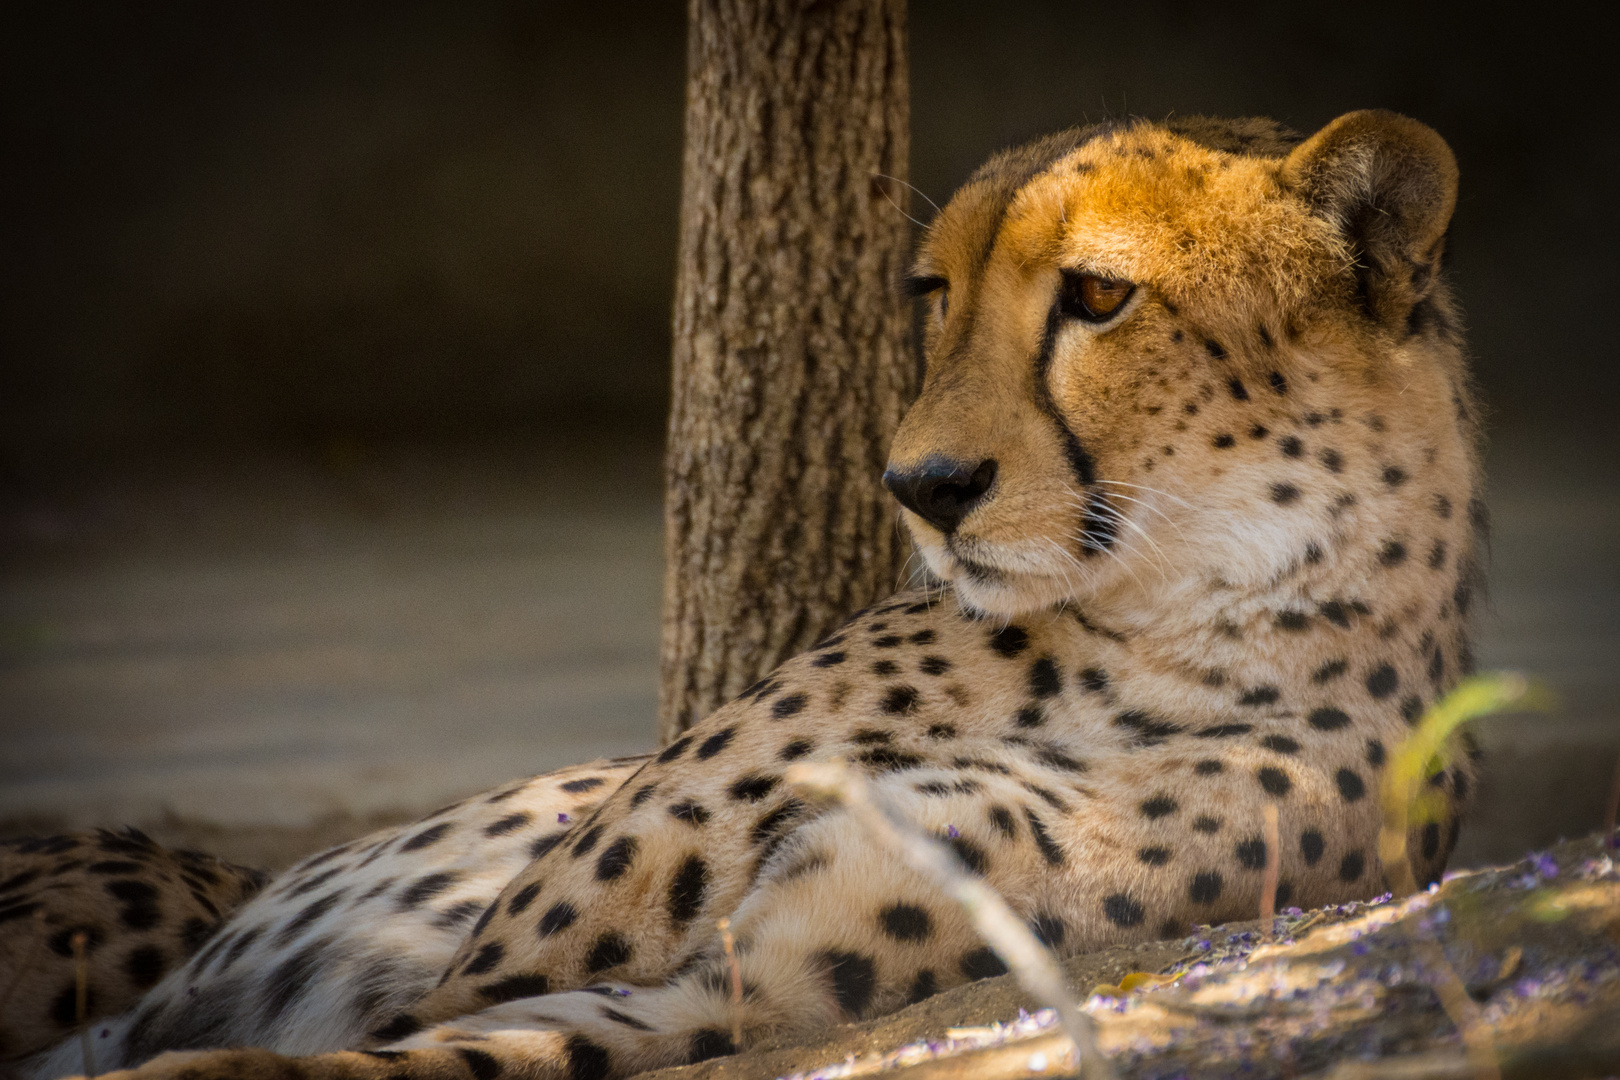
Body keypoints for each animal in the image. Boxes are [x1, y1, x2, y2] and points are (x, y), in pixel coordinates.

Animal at [9, 107, 1483, 1080]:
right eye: (936, 295)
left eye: (1101, 297)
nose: (923, 485)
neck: (1178, 626)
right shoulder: (512, 950)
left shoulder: (744, 991)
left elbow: (468, 1047)